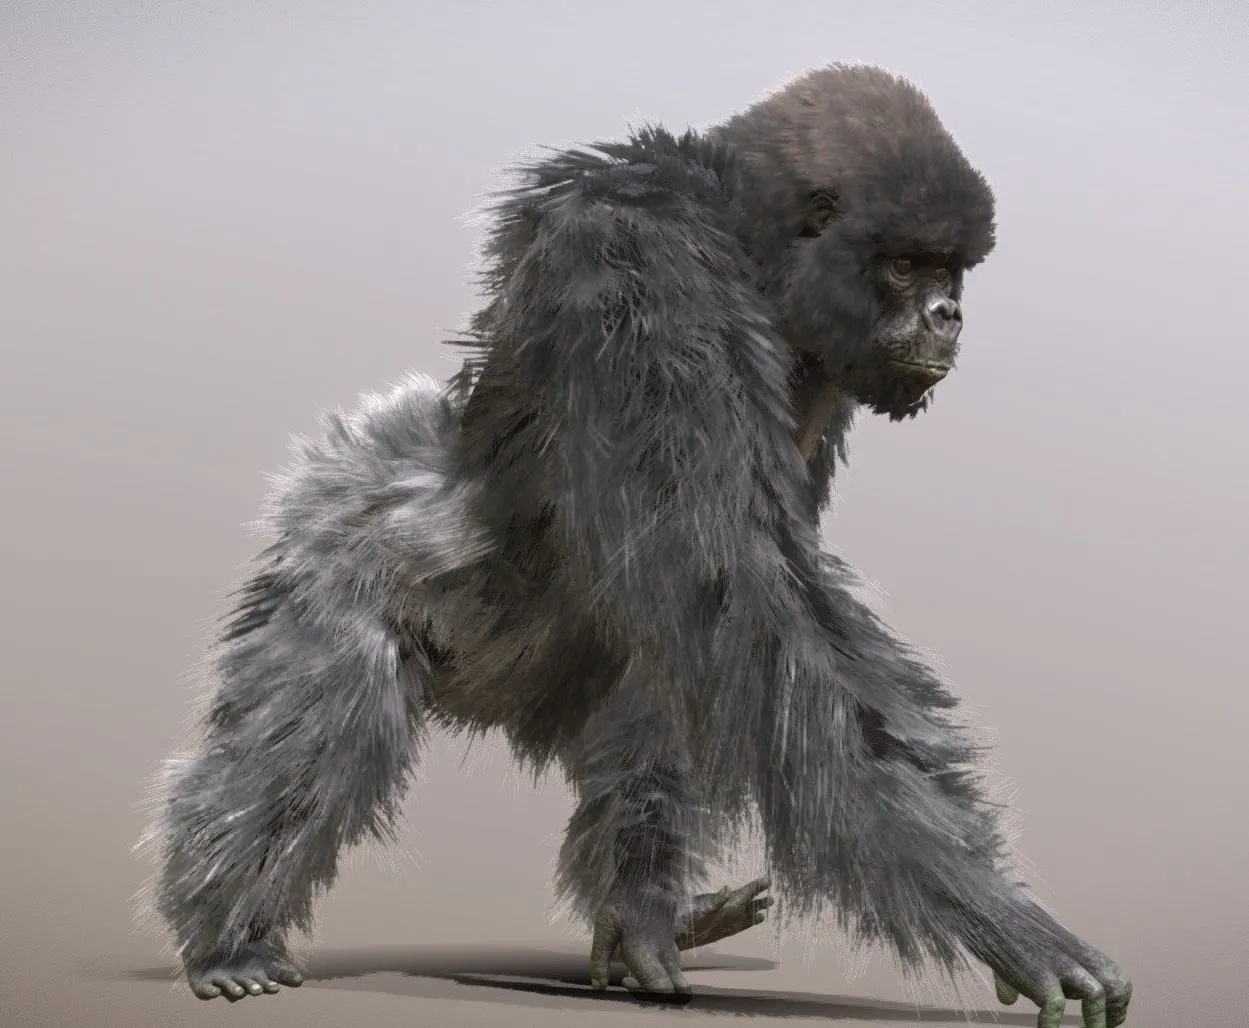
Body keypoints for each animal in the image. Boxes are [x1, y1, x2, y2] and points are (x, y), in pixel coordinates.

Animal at [140, 64, 1132, 1028]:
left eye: (951, 270)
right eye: (904, 265)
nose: (947, 314)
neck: (748, 243)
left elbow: (726, 616)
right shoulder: (635, 258)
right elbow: (756, 598)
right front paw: (995, 912)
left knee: (665, 657)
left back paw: (645, 914)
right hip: (340, 547)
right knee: (313, 731)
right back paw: (228, 937)